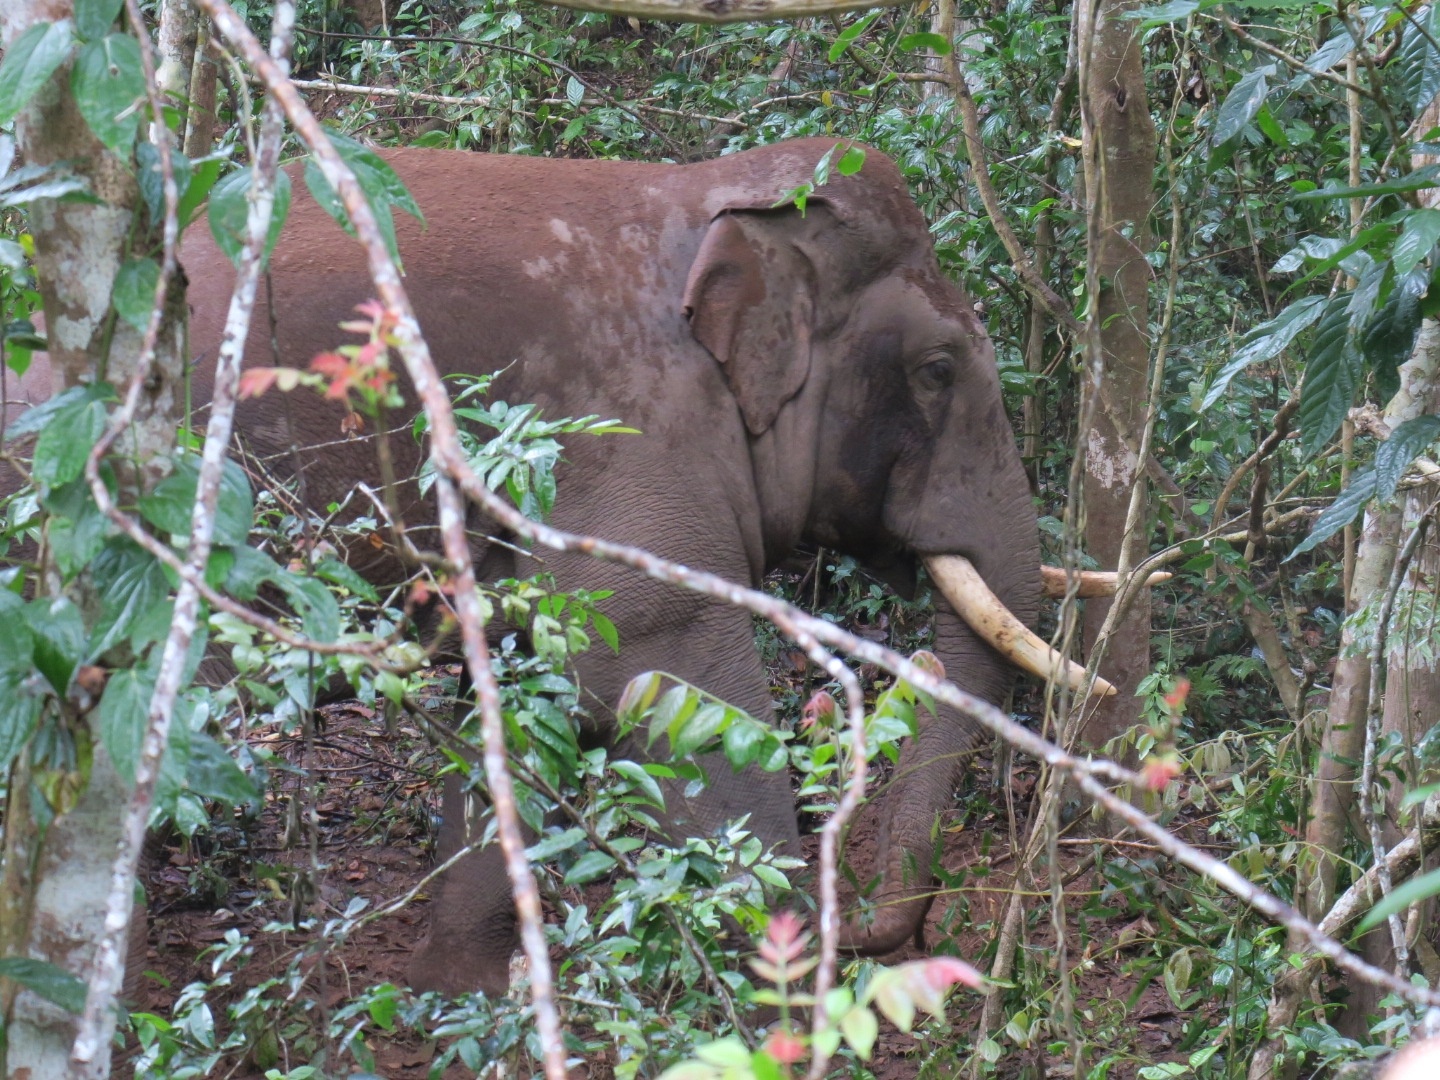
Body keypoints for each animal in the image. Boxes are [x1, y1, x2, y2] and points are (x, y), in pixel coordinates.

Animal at [6, 138, 1104, 998]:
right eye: (938, 372)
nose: (879, 928)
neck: (714, 196)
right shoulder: (629, 433)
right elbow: (665, 678)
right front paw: (790, 968)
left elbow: (511, 681)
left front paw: (461, 990)